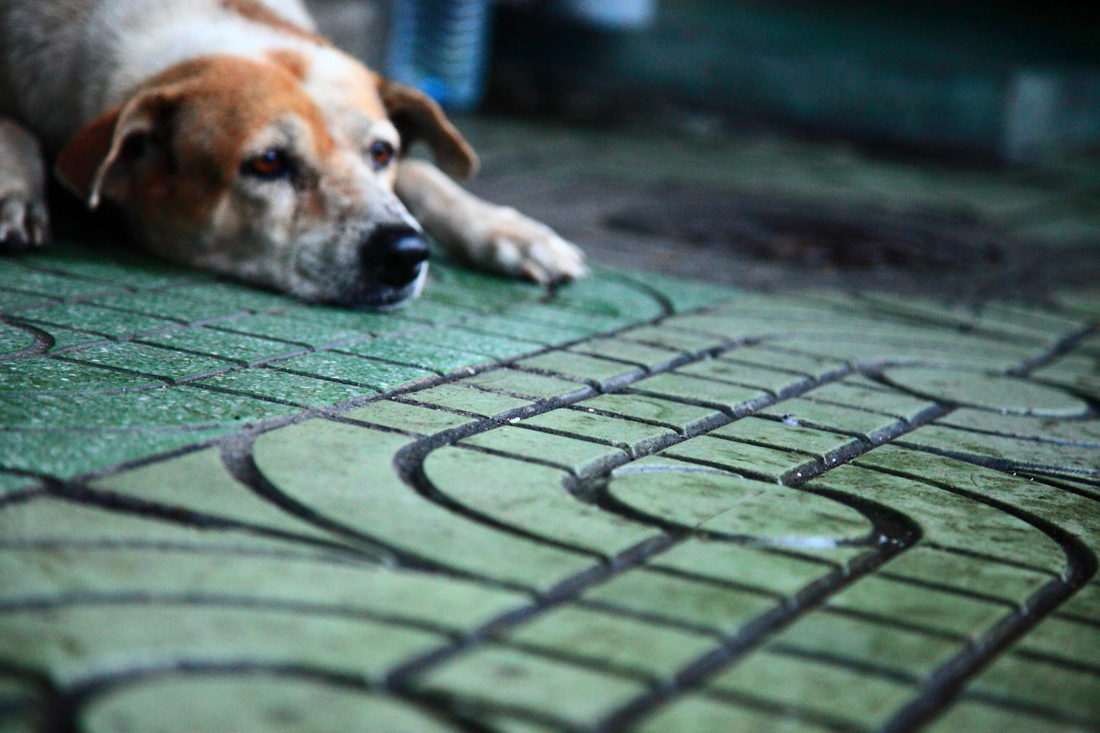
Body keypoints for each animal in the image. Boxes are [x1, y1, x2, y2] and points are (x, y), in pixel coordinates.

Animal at [0, 0, 586, 307]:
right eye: (268, 163)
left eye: (382, 152)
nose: (405, 252)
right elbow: (12, 126)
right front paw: (16, 195)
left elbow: (424, 173)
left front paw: (515, 233)